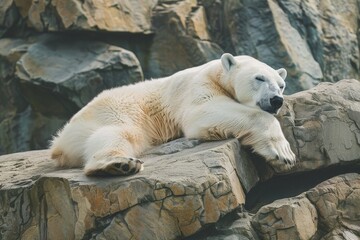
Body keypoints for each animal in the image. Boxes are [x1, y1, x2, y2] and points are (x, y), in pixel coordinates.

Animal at [51, 53, 298, 175]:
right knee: (118, 133)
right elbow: (202, 112)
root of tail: (58, 142)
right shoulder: (197, 87)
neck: (216, 71)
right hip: (115, 111)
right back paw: (117, 164)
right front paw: (284, 153)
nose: (276, 100)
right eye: (259, 78)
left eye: (281, 84)